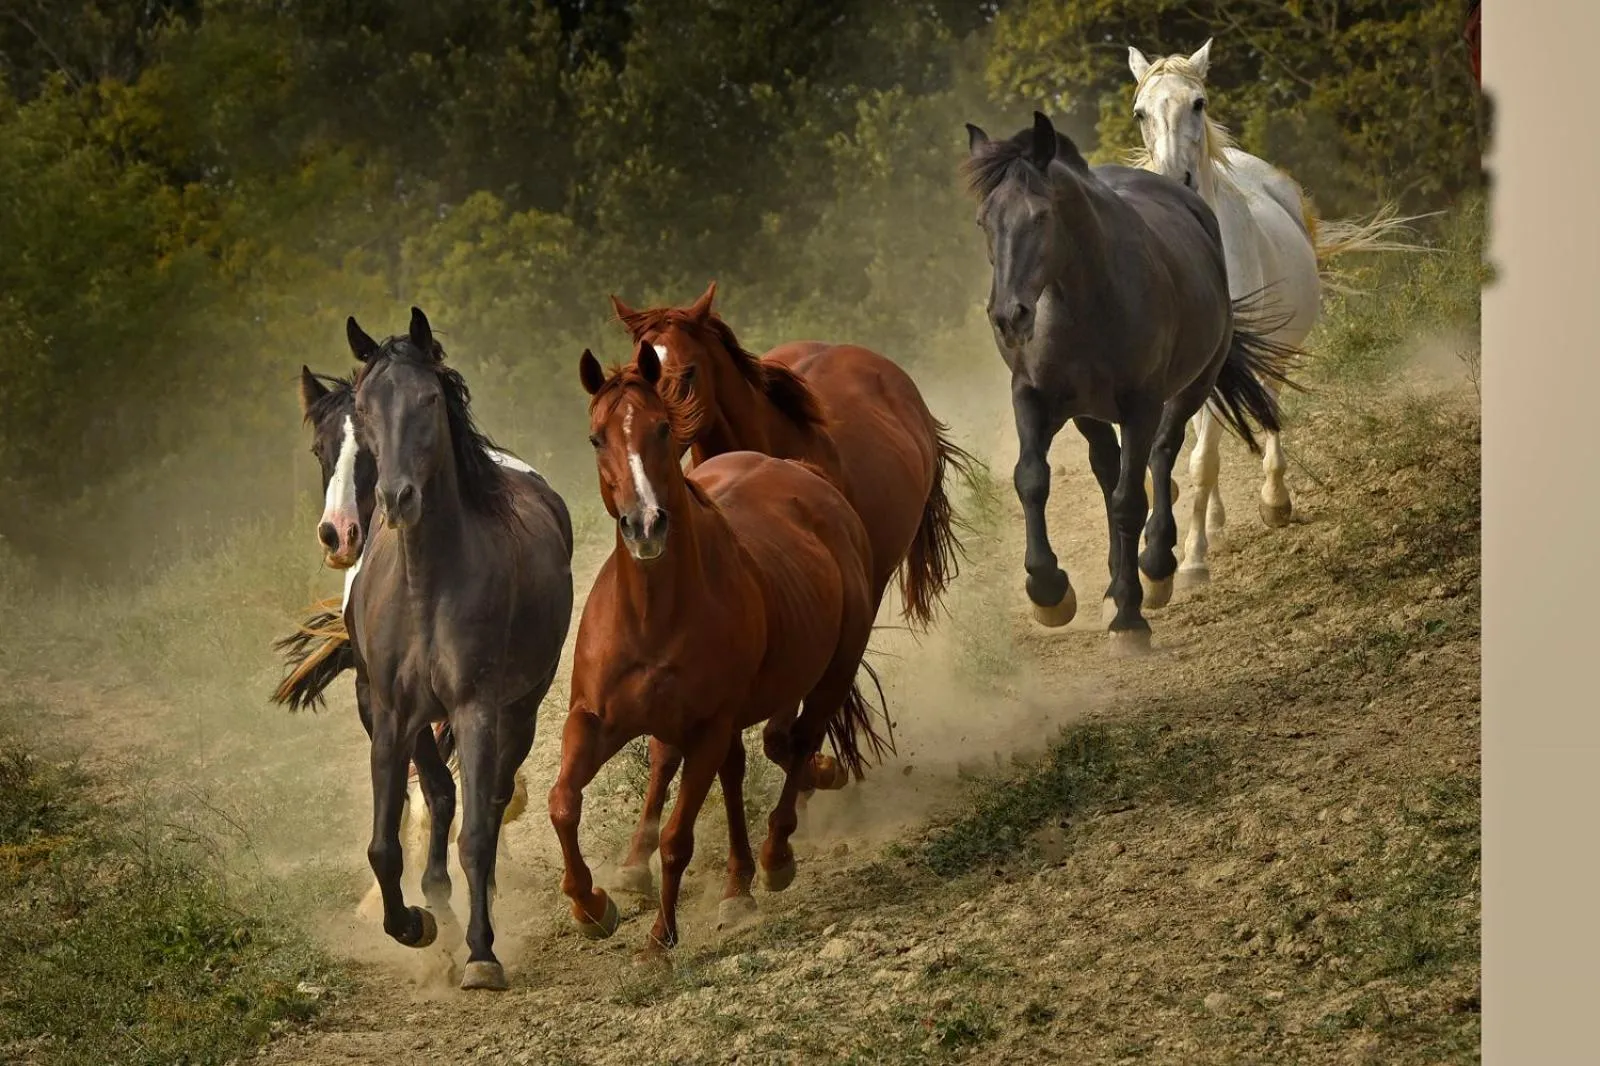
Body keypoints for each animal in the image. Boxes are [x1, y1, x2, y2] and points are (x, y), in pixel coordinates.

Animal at [346, 307, 574, 991]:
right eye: (363, 406)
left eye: (427, 399)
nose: (397, 499)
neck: (429, 582)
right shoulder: (391, 715)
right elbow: (384, 845)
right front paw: (415, 924)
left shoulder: (476, 709)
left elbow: (476, 832)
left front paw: (480, 953)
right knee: (443, 796)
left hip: (520, 708)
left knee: (491, 803)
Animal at [549, 343, 890, 957]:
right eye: (595, 438)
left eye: (662, 428)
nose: (645, 526)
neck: (652, 616)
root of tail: (806, 475)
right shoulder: (592, 719)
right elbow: (563, 802)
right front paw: (591, 906)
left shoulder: (708, 727)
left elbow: (677, 839)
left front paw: (659, 942)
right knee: (729, 771)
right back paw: (734, 884)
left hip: (830, 674)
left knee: (799, 746)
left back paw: (774, 859)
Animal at [602, 282, 974, 898]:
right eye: (638, 368)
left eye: (686, 373)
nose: (645, 489)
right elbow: (673, 749)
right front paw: (634, 860)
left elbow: (782, 733)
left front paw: (820, 774)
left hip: (866, 590)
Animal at [964, 111, 1303, 652]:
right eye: (984, 221)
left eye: (1041, 216)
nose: (1008, 317)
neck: (1084, 300)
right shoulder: (1033, 398)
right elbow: (1032, 479)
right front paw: (1050, 592)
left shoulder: (1141, 405)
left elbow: (1130, 499)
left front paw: (1129, 616)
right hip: (1089, 412)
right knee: (1109, 469)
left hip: (1190, 388)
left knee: (1162, 457)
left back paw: (1156, 567)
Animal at [1127, 38, 1426, 580]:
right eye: (1141, 112)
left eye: (1198, 103)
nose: (1176, 181)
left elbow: (1203, 460)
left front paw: (1193, 562)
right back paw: (1219, 523)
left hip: (1272, 355)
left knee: (1265, 413)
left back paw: (1273, 504)